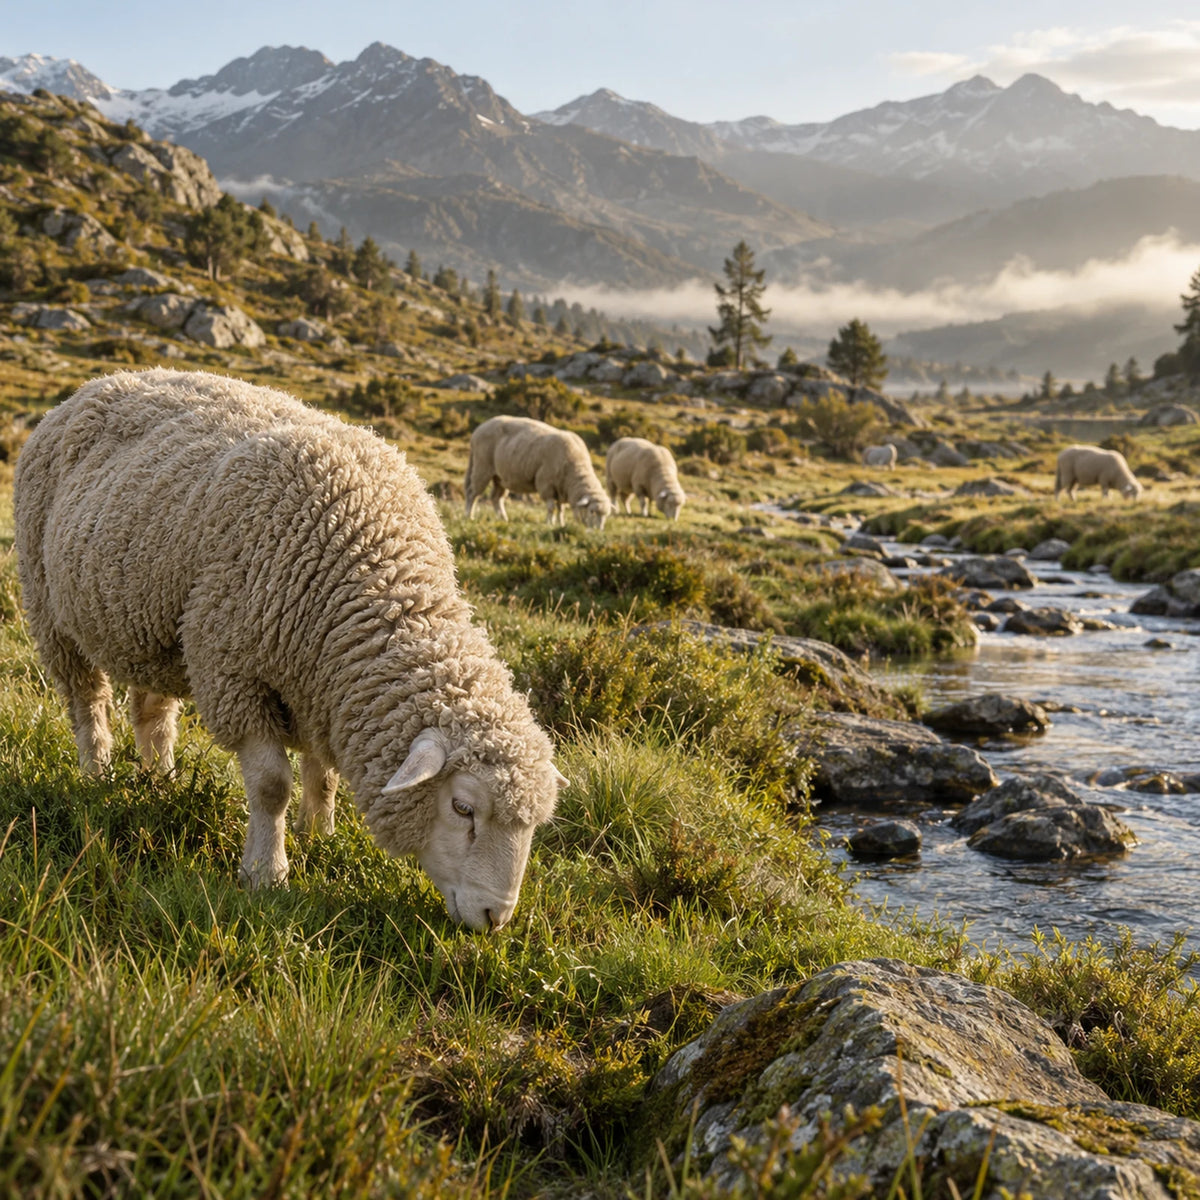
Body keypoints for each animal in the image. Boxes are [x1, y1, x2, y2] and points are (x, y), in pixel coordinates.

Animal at [14, 368, 567, 932]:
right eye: (462, 808)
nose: (495, 916)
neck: (374, 574)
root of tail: (98, 384)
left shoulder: (318, 683)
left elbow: (322, 775)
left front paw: (318, 833)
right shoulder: (234, 671)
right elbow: (270, 786)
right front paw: (267, 872)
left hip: (153, 627)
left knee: (152, 712)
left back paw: (159, 782)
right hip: (49, 606)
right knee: (87, 701)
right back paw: (97, 772)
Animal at [464, 414, 610, 528]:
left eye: (606, 516)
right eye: (592, 511)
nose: (597, 531)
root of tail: (478, 429)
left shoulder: (560, 488)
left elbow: (561, 509)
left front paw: (561, 523)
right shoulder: (545, 483)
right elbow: (551, 507)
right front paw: (549, 523)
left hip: (499, 477)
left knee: (496, 498)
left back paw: (503, 519)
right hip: (482, 467)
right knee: (472, 493)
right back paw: (469, 516)